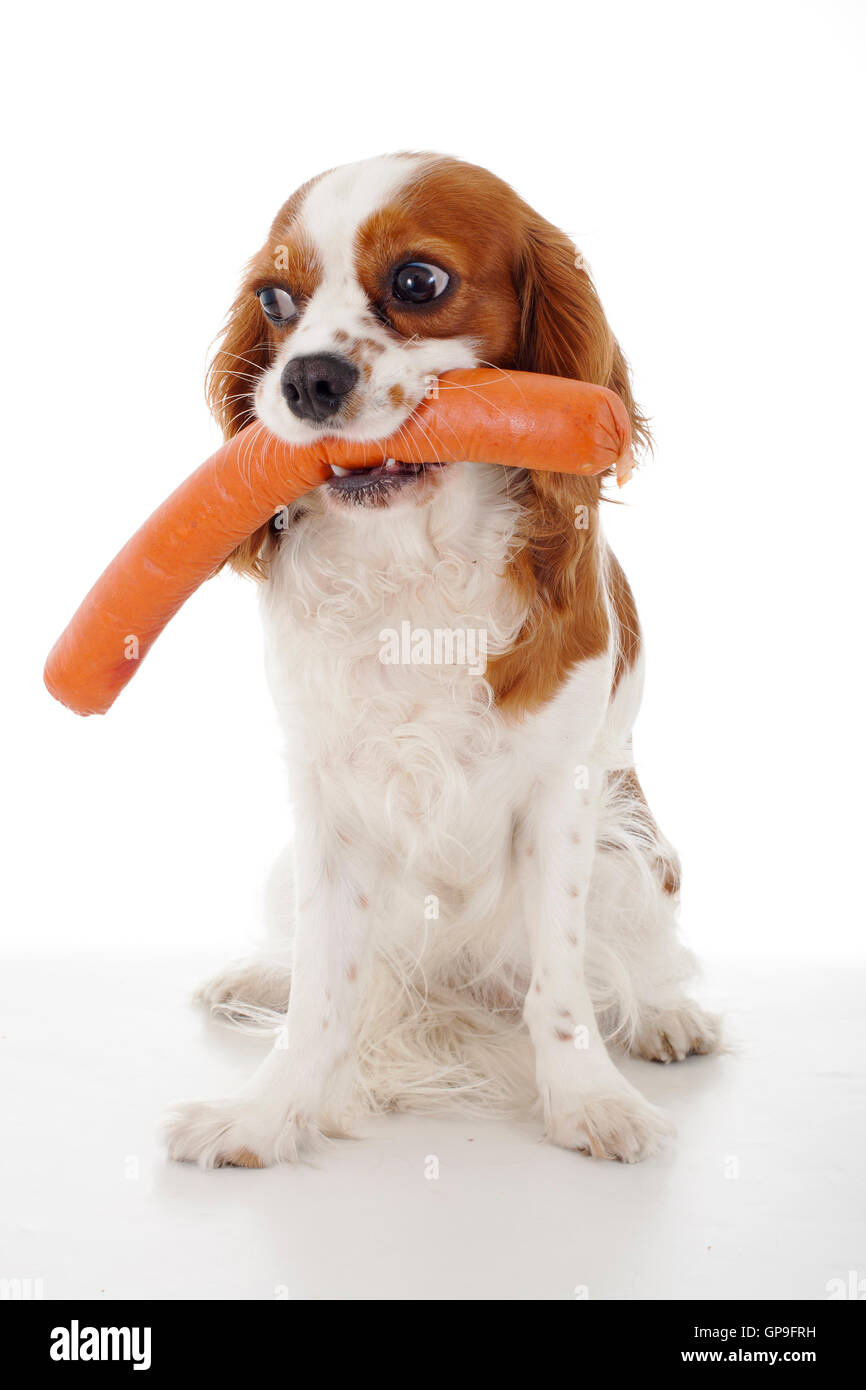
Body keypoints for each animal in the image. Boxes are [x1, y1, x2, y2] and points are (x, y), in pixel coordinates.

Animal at [166, 152, 722, 1167]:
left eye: (418, 282)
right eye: (274, 298)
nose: (304, 379)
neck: (409, 563)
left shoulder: (560, 800)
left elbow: (561, 988)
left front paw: (588, 1101)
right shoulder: (326, 798)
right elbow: (322, 991)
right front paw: (265, 1114)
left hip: (635, 857)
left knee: (636, 959)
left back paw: (668, 1016)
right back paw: (255, 978)